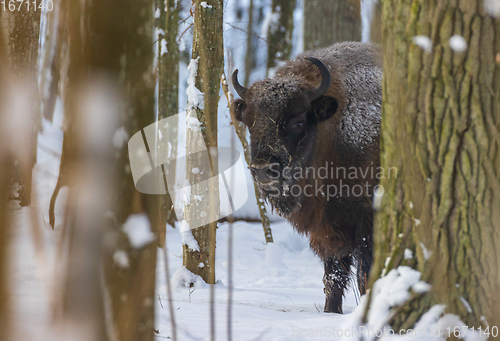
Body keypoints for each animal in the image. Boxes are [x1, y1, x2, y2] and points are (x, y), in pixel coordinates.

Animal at [231, 41, 382, 312]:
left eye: (299, 121)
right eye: (250, 122)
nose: (263, 169)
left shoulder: (367, 218)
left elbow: (364, 273)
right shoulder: (326, 226)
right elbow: (333, 274)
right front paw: (331, 311)